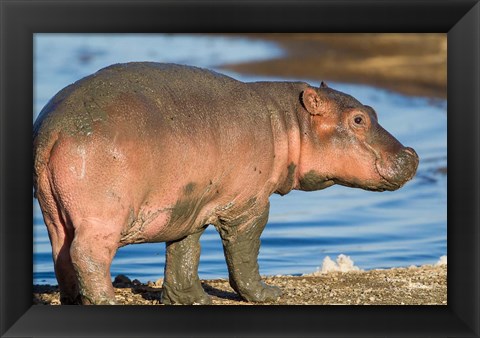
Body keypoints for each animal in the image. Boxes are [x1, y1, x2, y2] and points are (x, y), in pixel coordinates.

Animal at [32, 62, 416, 304]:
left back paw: (73, 300)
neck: (288, 121)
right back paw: (107, 302)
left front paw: (191, 299)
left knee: (62, 253)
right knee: (88, 256)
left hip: (53, 211)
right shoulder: (248, 205)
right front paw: (268, 295)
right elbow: (244, 252)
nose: (412, 154)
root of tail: (54, 129)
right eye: (359, 119)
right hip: (102, 216)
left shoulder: (191, 205)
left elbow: (185, 251)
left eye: (372, 111)